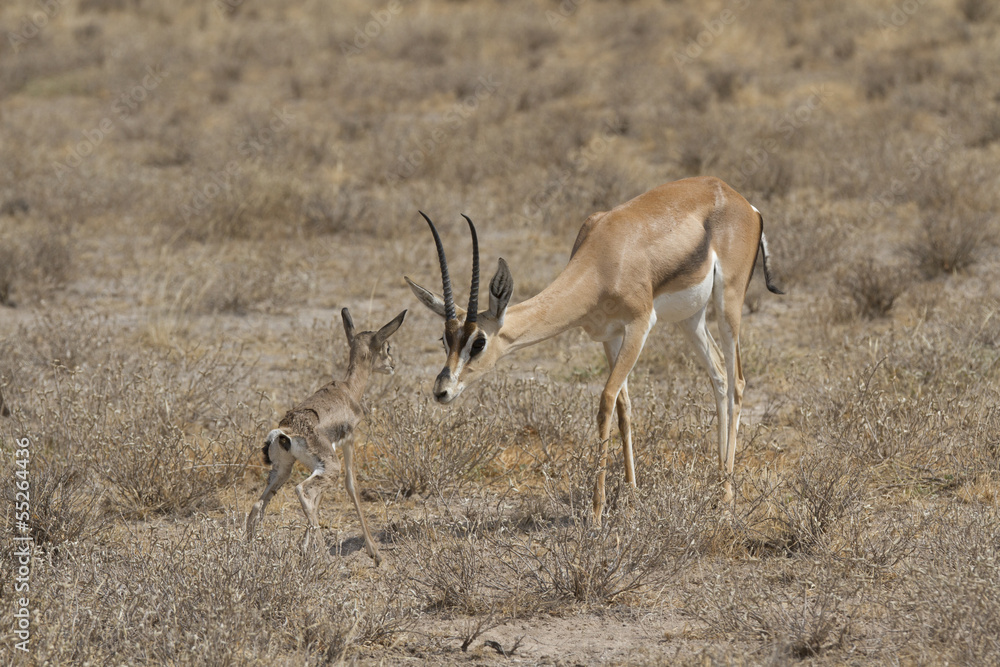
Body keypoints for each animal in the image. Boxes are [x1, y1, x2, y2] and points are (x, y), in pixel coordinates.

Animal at [246, 307, 406, 565]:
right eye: (388, 347)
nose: (392, 365)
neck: (349, 390)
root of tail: (286, 430)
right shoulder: (347, 442)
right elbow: (351, 485)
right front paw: (374, 552)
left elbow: (320, 500)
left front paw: (302, 547)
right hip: (328, 468)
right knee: (303, 491)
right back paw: (324, 557)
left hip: (283, 470)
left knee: (258, 504)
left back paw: (250, 551)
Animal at [405, 176, 783, 522]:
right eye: (445, 339)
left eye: (478, 342)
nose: (441, 391)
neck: (604, 259)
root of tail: (743, 202)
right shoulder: (608, 335)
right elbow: (624, 407)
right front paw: (632, 497)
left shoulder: (639, 326)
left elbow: (605, 401)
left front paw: (598, 512)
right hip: (690, 319)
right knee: (718, 375)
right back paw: (718, 484)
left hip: (728, 303)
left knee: (737, 382)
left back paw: (727, 498)